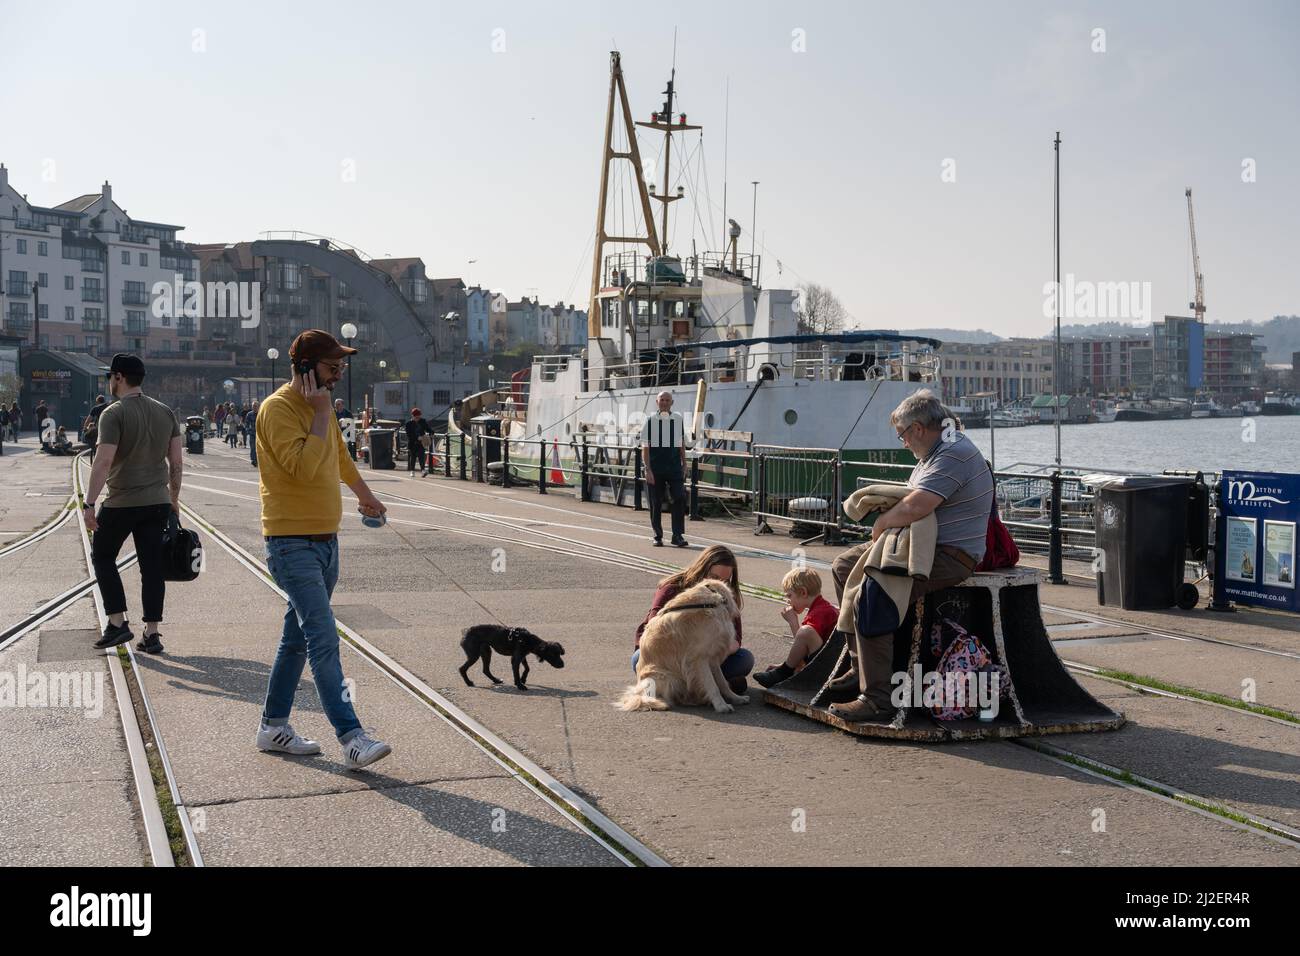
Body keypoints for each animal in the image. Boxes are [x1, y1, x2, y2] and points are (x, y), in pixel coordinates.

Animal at [613, 580, 748, 712]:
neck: (712, 599)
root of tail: (638, 689)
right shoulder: (699, 659)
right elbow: (712, 685)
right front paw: (721, 706)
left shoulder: (713, 657)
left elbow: (722, 682)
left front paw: (736, 698)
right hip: (668, 678)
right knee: (658, 698)